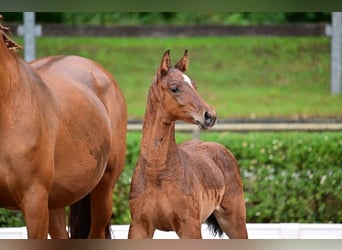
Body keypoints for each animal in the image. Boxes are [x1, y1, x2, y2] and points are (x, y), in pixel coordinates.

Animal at [129, 49, 248, 239]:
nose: (210, 115)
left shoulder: (189, 227)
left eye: (195, 85)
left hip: (234, 222)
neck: (157, 174)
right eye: (174, 88)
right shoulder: (139, 227)